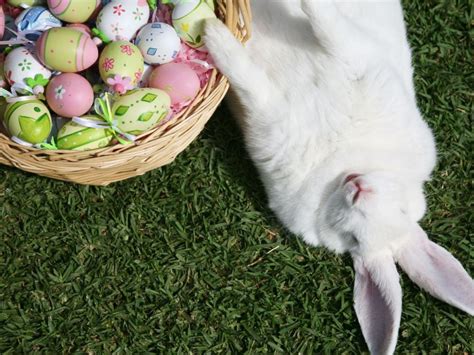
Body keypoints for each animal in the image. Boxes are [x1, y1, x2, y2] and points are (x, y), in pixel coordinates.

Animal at [204, 0, 474, 355]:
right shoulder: (359, 60)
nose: (358, 188)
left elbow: (250, 80)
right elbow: (327, 23)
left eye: (353, 240)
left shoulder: (271, 123)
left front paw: (214, 36)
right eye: (403, 208)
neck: (341, 160)